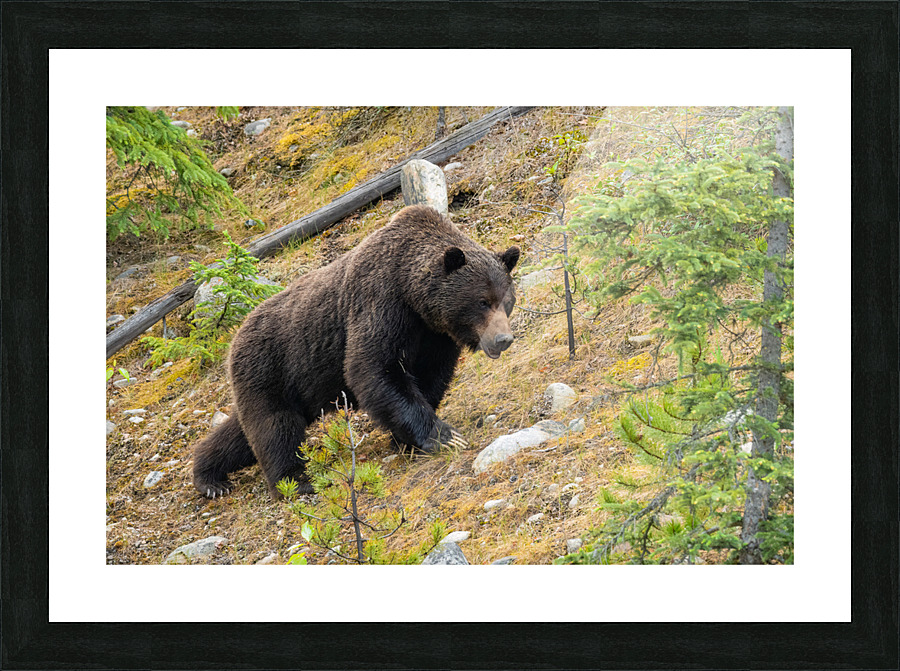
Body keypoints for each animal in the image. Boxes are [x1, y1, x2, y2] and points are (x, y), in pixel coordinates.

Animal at [192, 205, 520, 499]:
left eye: (506, 300)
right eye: (482, 301)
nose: (503, 338)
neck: (414, 297)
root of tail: (235, 337)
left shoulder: (434, 336)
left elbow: (429, 377)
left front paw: (406, 440)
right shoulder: (381, 303)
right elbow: (373, 369)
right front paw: (445, 437)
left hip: (290, 384)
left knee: (243, 433)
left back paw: (209, 475)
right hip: (269, 367)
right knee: (275, 428)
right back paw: (292, 483)